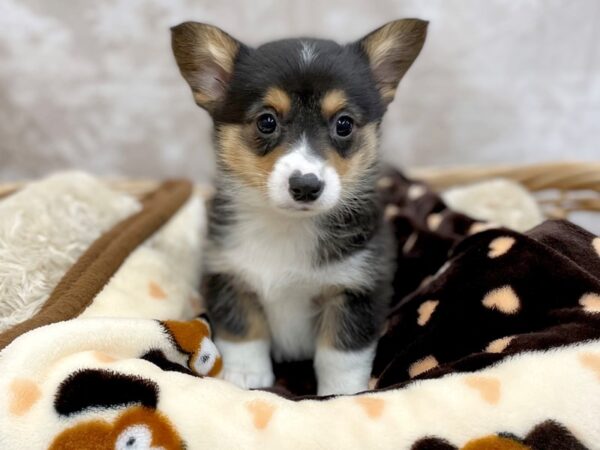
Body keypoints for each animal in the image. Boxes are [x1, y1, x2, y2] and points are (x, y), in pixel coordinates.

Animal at [171, 19, 428, 396]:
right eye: (266, 121)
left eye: (344, 124)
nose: (306, 186)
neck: (286, 225)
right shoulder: (228, 276)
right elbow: (243, 332)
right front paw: (246, 378)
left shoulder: (357, 288)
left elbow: (341, 353)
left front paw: (341, 393)